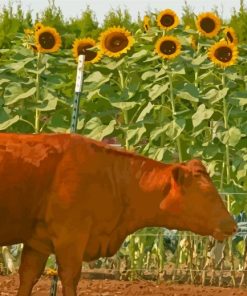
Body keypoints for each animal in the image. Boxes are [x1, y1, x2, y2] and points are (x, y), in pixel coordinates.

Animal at [0, 133, 236, 294]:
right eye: (206, 194)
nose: (232, 225)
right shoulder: (70, 238)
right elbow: (69, 277)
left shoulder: (38, 242)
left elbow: (28, 276)